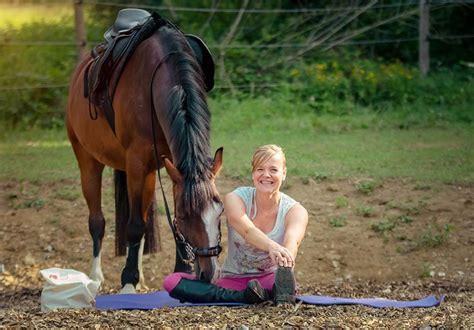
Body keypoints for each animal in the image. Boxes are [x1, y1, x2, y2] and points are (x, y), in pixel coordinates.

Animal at [65, 12, 225, 294]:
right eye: (186, 217)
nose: (209, 273)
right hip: (88, 160)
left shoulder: (169, 164)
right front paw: (128, 280)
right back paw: (96, 276)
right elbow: (135, 226)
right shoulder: (138, 163)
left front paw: (180, 272)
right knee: (98, 221)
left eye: (220, 212)